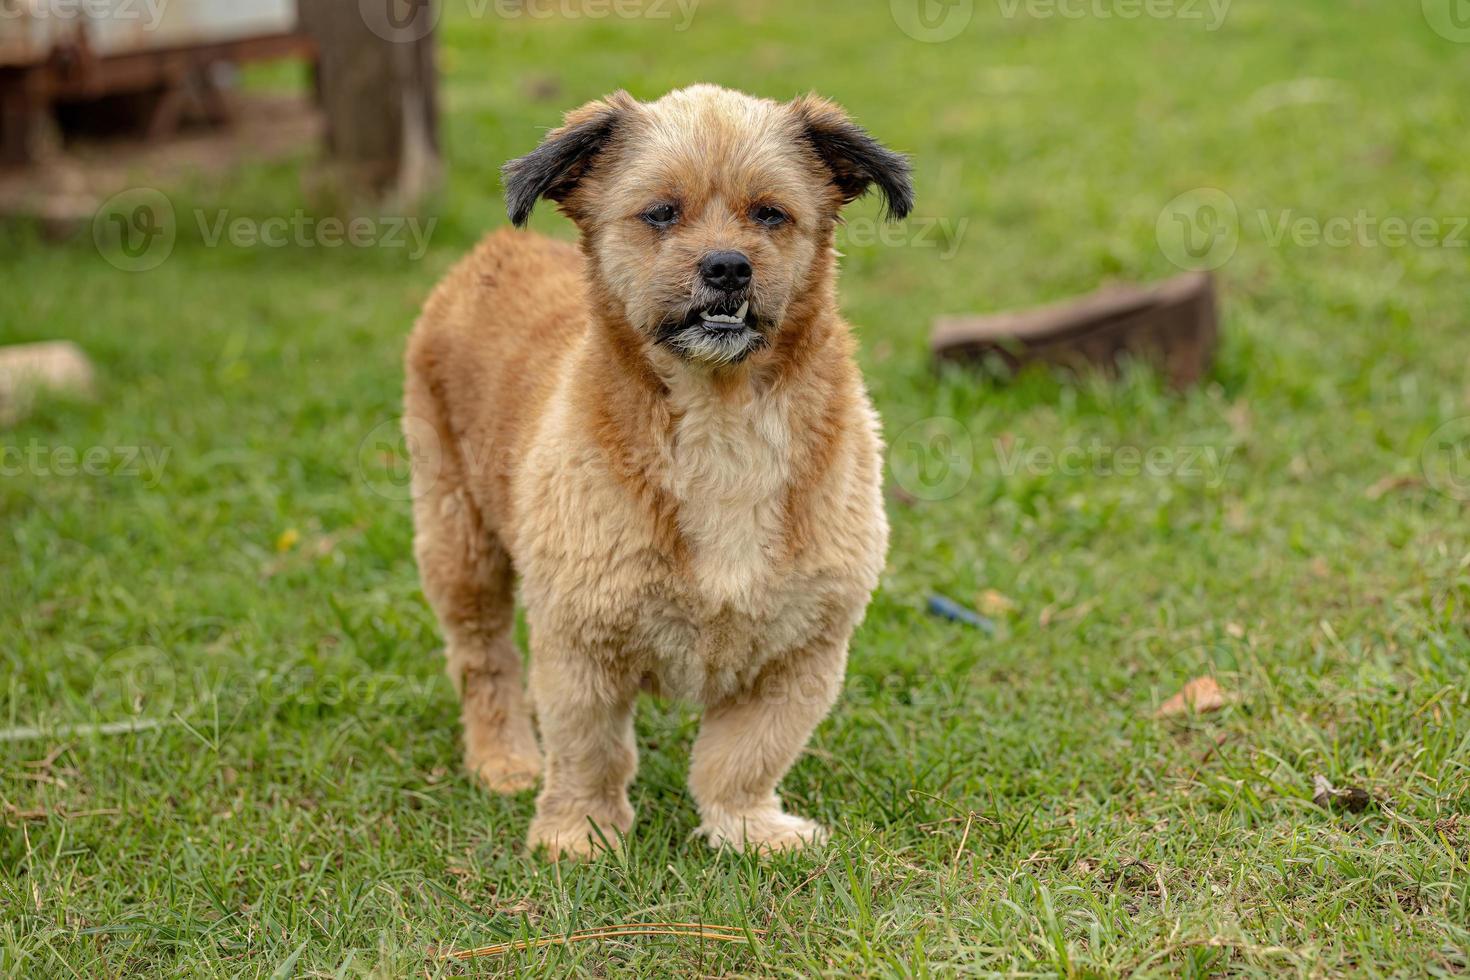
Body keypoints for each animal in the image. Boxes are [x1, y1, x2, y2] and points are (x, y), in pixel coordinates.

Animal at [402, 84, 905, 858]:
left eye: (771, 213)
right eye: (662, 212)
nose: (727, 266)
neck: (722, 421)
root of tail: (492, 253)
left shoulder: (803, 648)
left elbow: (742, 757)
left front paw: (748, 829)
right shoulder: (580, 638)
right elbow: (590, 750)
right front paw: (578, 836)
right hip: (459, 541)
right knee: (482, 659)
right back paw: (504, 761)